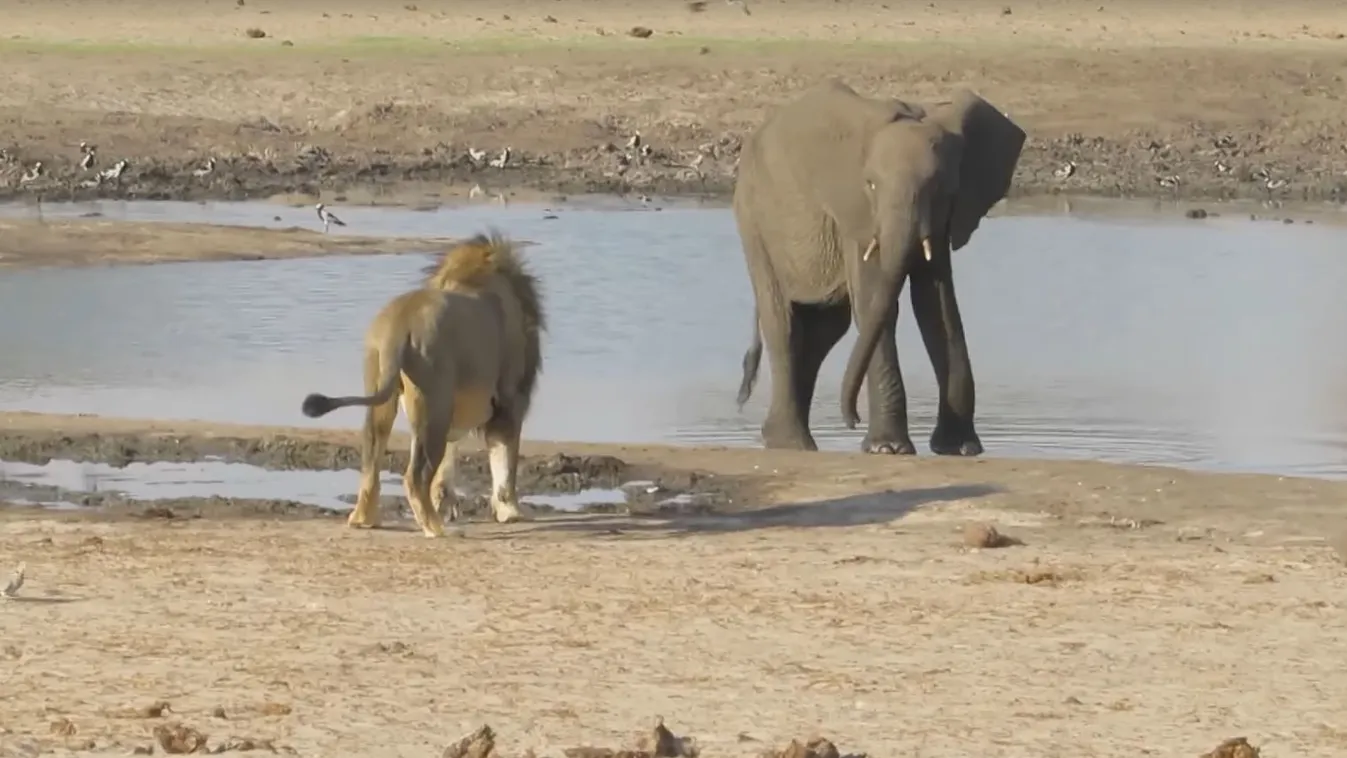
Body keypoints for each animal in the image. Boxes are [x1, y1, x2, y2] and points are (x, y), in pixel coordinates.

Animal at [299, 231, 541, 538]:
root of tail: (400, 325)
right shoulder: (509, 402)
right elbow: (505, 461)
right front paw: (510, 512)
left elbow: (450, 463)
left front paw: (446, 501)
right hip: (434, 404)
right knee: (415, 477)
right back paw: (436, 529)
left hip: (384, 398)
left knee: (370, 464)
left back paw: (364, 519)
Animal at [732, 78, 1023, 457]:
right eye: (870, 184)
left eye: (941, 187)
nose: (851, 419)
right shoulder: (855, 212)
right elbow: (876, 302)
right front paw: (887, 449)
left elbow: (937, 305)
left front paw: (959, 448)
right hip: (754, 219)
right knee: (783, 323)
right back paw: (792, 444)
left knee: (824, 329)